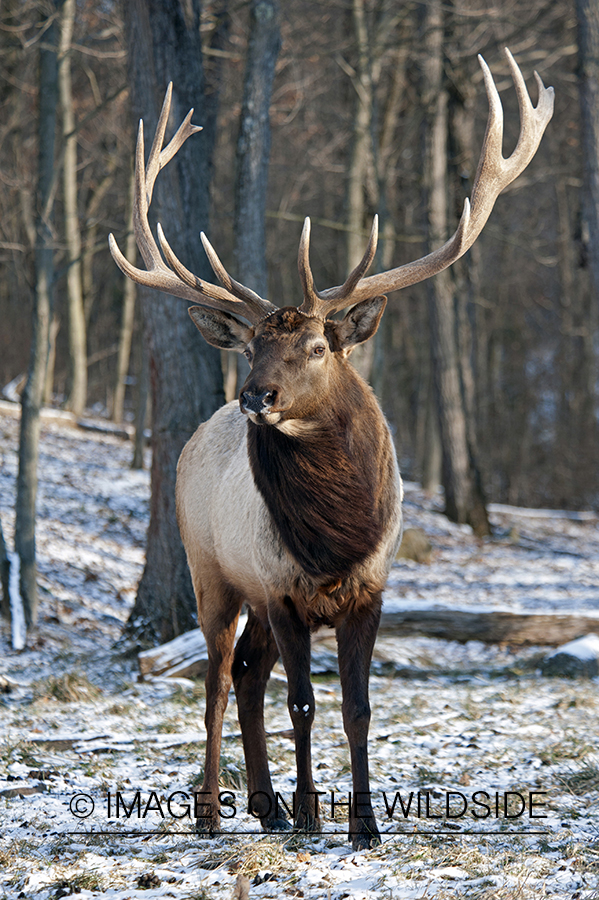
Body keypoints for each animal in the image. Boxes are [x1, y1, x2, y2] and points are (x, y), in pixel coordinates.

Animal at [110, 51, 556, 852]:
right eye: (251, 345)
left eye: (317, 347)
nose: (255, 395)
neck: (334, 539)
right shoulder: (283, 589)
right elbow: (304, 705)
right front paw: (314, 816)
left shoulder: (370, 589)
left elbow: (357, 707)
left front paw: (364, 826)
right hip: (213, 570)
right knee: (219, 677)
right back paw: (214, 811)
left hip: (251, 592)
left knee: (247, 675)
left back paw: (264, 806)